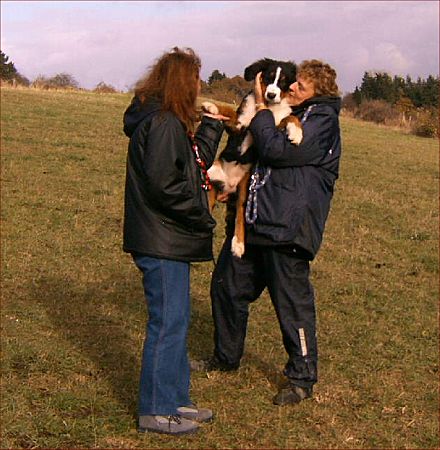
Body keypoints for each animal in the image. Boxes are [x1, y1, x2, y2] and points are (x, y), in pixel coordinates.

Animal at [202, 58, 303, 258]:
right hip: (210, 178)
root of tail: (227, 185)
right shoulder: (239, 126)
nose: (271, 95)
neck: (267, 107)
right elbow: (228, 110)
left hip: (244, 190)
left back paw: (238, 245)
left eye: (283, 81)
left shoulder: (270, 128)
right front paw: (212, 106)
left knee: (241, 214)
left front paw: (296, 133)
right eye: (268, 77)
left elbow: (290, 118)